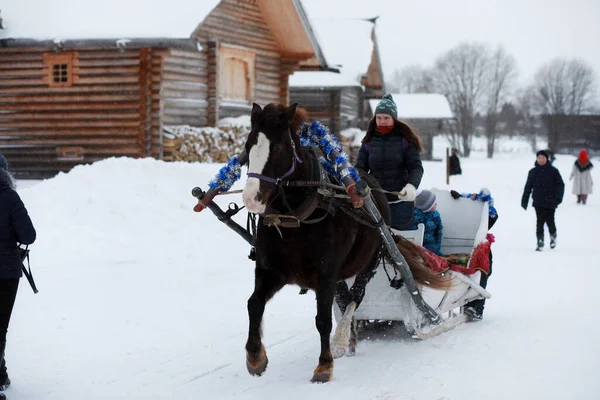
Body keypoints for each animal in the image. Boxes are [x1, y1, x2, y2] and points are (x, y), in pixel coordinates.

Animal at [241, 101, 448, 382]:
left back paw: (341, 339)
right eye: (248, 146)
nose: (251, 197)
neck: (296, 219)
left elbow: (322, 320)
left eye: (279, 149)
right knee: (345, 298)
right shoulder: (270, 270)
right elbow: (254, 304)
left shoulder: (325, 275)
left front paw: (324, 365)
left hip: (369, 262)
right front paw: (255, 358)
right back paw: (349, 337)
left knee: (355, 298)